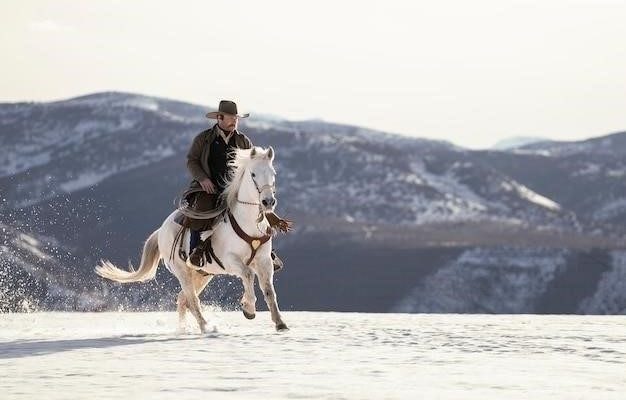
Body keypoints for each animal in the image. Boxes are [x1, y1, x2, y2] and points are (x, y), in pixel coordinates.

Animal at [95, 145, 288, 332]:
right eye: (253, 174)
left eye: (273, 173)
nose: (268, 202)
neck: (247, 222)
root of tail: (161, 231)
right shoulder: (231, 260)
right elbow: (248, 275)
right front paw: (248, 308)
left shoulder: (264, 261)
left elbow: (269, 291)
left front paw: (280, 323)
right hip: (183, 272)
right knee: (191, 299)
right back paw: (205, 327)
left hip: (202, 274)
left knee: (183, 299)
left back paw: (184, 328)